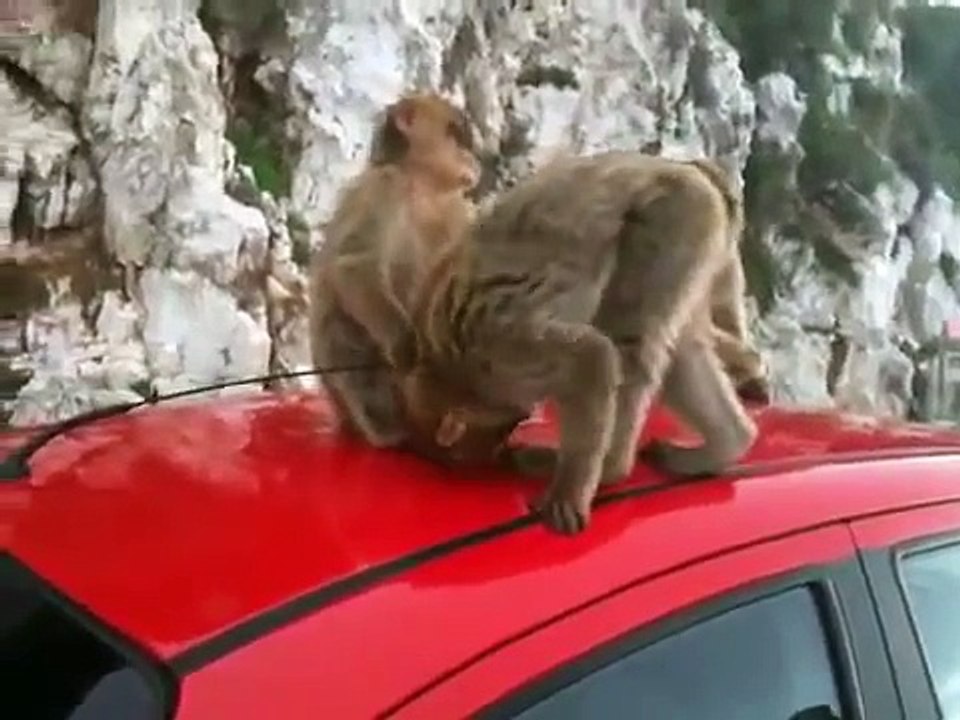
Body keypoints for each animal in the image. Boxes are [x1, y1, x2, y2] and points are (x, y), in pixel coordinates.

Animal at [308, 92, 480, 449]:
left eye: (463, 138)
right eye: (455, 134)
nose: (472, 158)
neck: (426, 189)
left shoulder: (459, 209)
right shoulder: (385, 189)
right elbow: (355, 265)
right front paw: (405, 343)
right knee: (343, 335)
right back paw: (392, 431)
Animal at [394, 151, 759, 534]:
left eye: (495, 441)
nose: (501, 453)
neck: (446, 369)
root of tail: (689, 170)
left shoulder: (502, 356)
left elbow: (591, 357)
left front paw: (568, 491)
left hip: (675, 220)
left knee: (630, 340)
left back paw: (611, 466)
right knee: (681, 350)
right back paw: (727, 443)